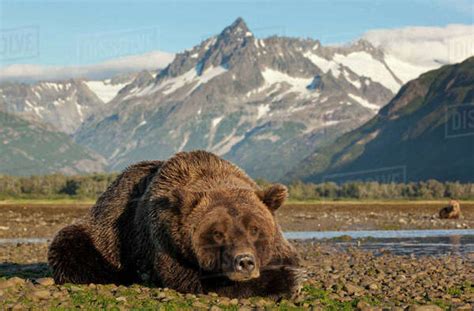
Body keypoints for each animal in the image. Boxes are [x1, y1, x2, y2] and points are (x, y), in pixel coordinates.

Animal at [47, 151, 300, 300]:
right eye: (218, 233)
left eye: (255, 229)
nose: (245, 262)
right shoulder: (163, 241)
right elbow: (192, 278)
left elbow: (287, 263)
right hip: (102, 234)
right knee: (70, 246)